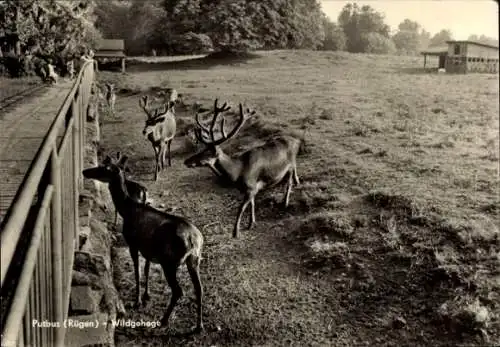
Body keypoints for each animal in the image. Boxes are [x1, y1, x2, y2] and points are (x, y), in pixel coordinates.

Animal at [83, 156, 204, 334]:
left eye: (104, 168)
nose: (85, 171)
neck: (127, 209)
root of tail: (194, 241)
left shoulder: (133, 243)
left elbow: (137, 272)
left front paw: (137, 300)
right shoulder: (148, 249)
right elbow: (145, 270)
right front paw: (146, 296)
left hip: (169, 262)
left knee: (178, 291)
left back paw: (164, 320)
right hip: (194, 260)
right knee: (199, 288)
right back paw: (198, 326)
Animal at [184, 99, 300, 238]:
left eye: (206, 152)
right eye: (200, 150)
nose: (186, 161)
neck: (238, 173)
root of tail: (297, 141)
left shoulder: (251, 187)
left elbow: (241, 208)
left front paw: (236, 232)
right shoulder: (252, 189)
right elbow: (252, 203)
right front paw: (251, 223)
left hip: (290, 164)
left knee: (289, 182)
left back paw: (285, 202)